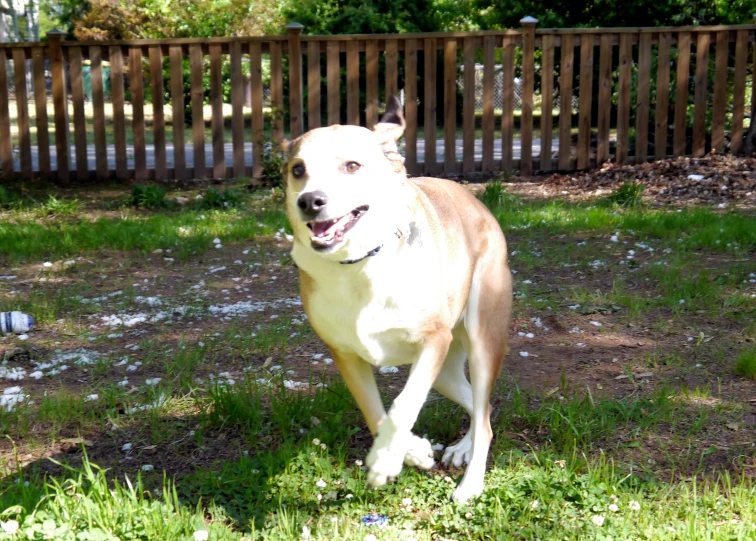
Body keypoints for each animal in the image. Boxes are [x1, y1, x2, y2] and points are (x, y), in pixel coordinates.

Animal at [284, 97, 512, 502]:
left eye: (352, 166)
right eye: (298, 169)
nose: (310, 201)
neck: (361, 265)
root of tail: (477, 203)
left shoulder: (434, 340)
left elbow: (403, 404)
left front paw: (387, 460)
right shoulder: (345, 355)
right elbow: (374, 411)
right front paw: (410, 451)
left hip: (482, 336)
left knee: (484, 414)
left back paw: (471, 484)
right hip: (446, 373)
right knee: (480, 407)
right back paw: (463, 447)